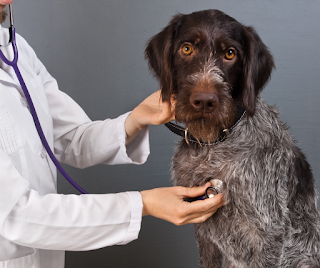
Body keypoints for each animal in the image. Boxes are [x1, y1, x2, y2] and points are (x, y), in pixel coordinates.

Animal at [146, 8, 320, 268]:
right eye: (186, 48)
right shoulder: (203, 226)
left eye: (230, 53)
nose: (204, 101)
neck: (214, 144)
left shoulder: (268, 232)